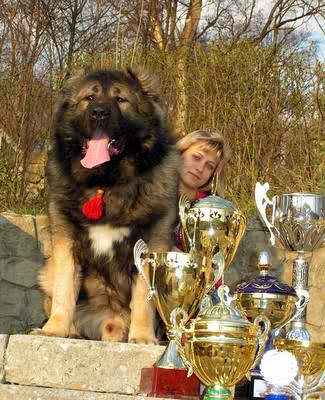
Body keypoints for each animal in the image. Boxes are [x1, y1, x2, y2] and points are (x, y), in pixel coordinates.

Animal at [38, 67, 180, 342]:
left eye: (120, 99)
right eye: (89, 98)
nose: (99, 112)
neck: (106, 182)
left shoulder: (150, 243)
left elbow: (143, 298)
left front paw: (142, 337)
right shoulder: (66, 240)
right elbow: (64, 289)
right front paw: (54, 329)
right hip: (46, 273)